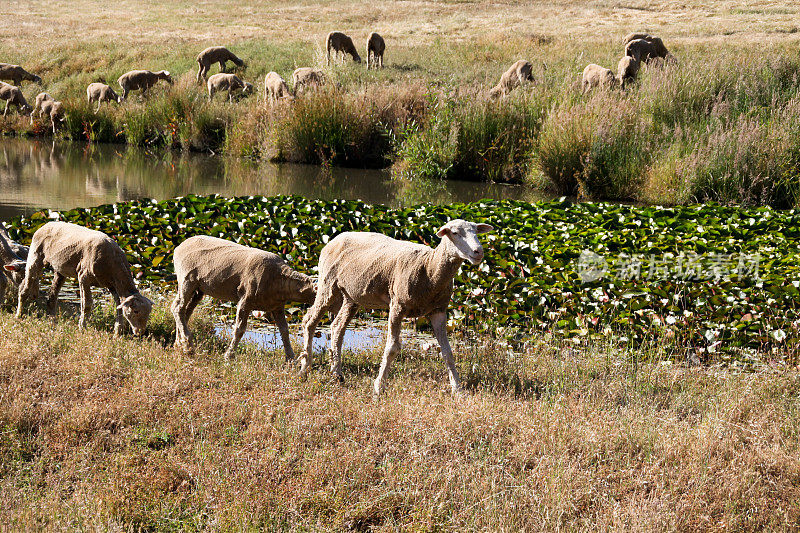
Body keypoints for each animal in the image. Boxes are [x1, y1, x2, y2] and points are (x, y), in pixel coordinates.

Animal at [17, 220, 154, 332]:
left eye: (149, 313)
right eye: (136, 311)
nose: (140, 332)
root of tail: (46, 224)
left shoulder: (112, 285)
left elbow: (119, 307)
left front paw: (117, 333)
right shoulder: (84, 276)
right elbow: (87, 304)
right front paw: (82, 327)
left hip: (60, 269)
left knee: (52, 296)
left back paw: (52, 322)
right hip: (35, 255)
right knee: (25, 288)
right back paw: (19, 314)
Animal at [172, 235, 316, 360]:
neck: (281, 278)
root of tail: (178, 246)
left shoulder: (277, 306)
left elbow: (285, 331)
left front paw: (291, 359)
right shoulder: (246, 299)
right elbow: (239, 329)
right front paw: (229, 356)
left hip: (199, 289)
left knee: (185, 311)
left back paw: (179, 344)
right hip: (186, 278)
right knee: (177, 307)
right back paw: (188, 345)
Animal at [296, 218, 490, 396]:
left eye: (476, 232)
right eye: (455, 233)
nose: (478, 251)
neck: (430, 268)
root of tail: (335, 238)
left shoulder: (439, 311)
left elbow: (447, 352)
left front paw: (458, 389)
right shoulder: (397, 306)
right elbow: (392, 348)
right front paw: (379, 386)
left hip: (352, 296)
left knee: (337, 327)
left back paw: (337, 373)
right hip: (327, 284)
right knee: (309, 321)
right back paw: (305, 367)